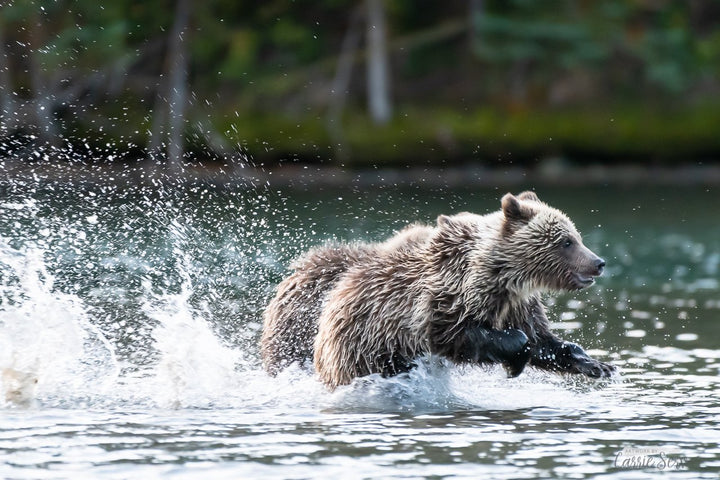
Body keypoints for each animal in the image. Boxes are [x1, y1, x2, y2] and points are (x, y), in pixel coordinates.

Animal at [262, 189, 616, 388]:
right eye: (566, 242)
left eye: (576, 236)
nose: (598, 262)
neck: (504, 279)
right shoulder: (443, 301)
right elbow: (458, 335)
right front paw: (515, 358)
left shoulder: (518, 304)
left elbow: (544, 340)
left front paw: (597, 364)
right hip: (355, 345)